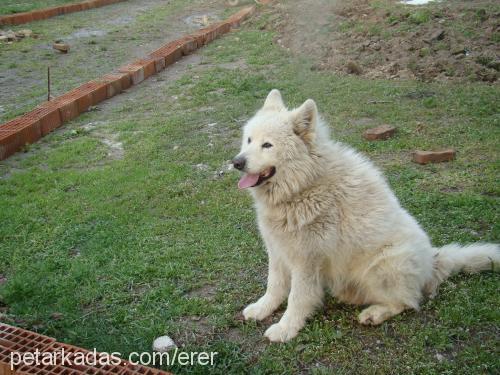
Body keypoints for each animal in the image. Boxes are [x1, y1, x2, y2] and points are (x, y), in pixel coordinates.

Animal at [234, 89, 500, 342]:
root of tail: (433, 261)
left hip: (383, 264)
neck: (304, 185)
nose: (236, 162)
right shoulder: (278, 249)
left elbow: (297, 297)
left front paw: (286, 328)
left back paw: (374, 313)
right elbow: (275, 285)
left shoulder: (307, 259)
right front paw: (262, 309)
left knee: (407, 301)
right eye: (249, 140)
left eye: (267, 145)